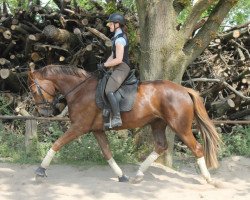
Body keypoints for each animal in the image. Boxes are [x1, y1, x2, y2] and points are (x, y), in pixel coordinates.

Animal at [28, 65, 221, 184]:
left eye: (33, 90)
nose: (43, 112)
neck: (80, 90)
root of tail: (185, 90)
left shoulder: (79, 127)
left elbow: (57, 143)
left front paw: (40, 171)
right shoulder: (96, 130)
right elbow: (107, 152)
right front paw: (121, 176)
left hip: (180, 127)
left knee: (197, 148)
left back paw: (208, 179)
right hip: (158, 124)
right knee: (161, 146)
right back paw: (138, 175)